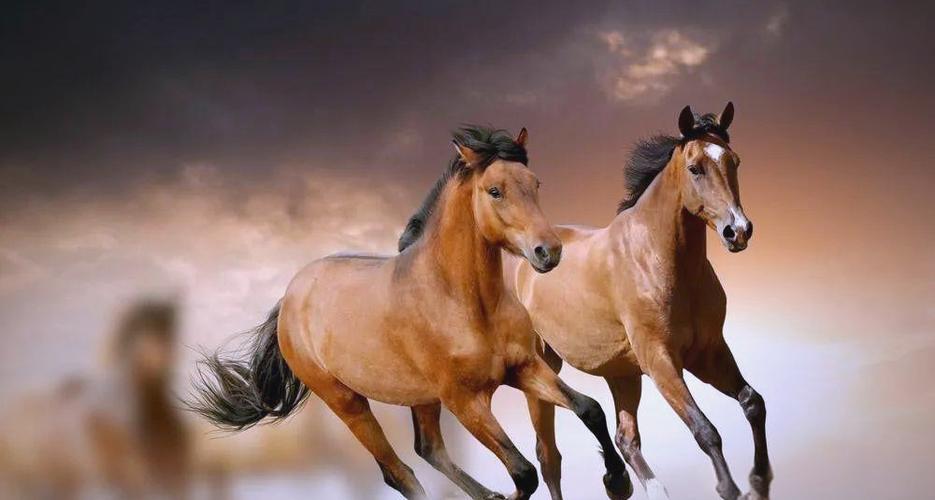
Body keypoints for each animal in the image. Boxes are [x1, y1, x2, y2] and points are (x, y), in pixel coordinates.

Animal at [190, 126, 632, 500]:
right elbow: (523, 473)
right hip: (348, 402)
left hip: (420, 398)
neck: (464, 302)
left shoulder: (523, 368)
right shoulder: (465, 401)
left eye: (535, 183)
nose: (549, 252)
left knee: (428, 449)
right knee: (398, 471)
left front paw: (618, 481)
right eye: (494, 191)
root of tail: (290, 298)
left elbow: (589, 409)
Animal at [508, 104, 772, 500]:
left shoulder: (708, 352)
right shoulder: (660, 360)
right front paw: (731, 488)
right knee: (548, 456)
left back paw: (634, 484)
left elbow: (753, 403)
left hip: (622, 374)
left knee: (625, 439)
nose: (737, 230)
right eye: (695, 168)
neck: (657, 259)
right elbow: (705, 430)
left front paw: (760, 480)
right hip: (543, 368)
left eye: (734, 161)